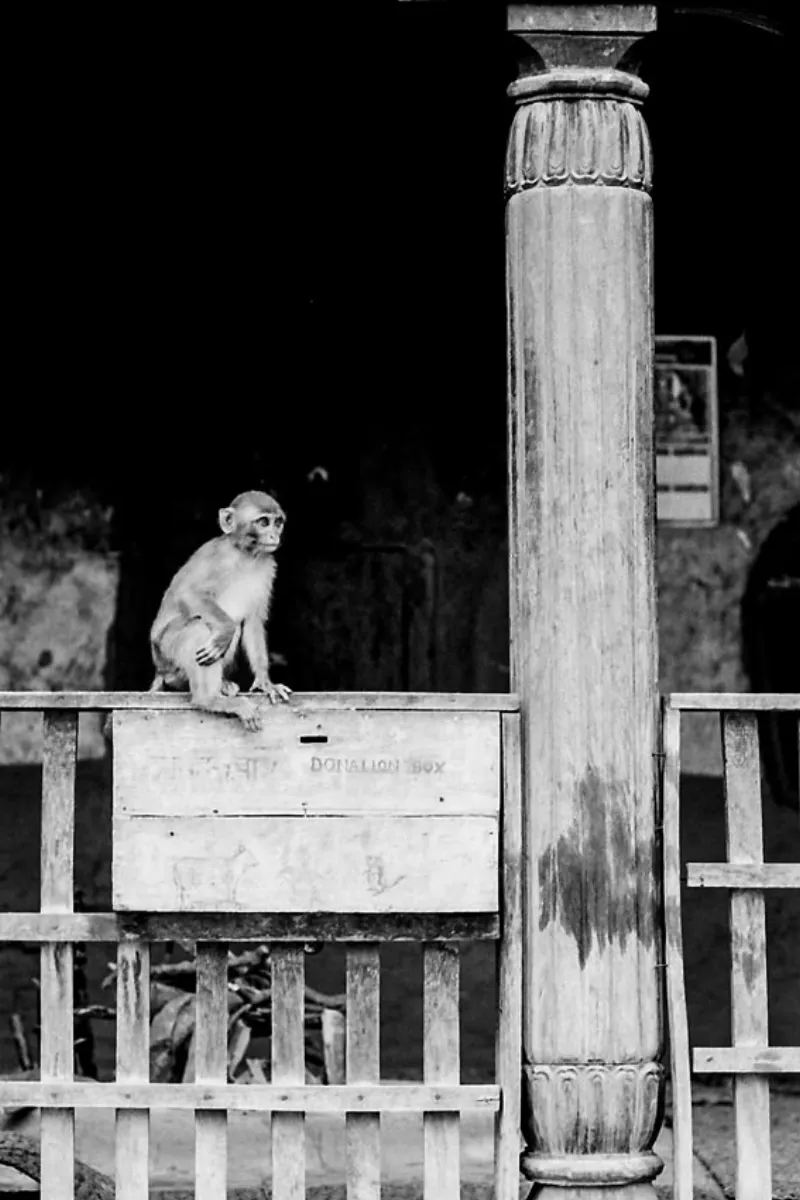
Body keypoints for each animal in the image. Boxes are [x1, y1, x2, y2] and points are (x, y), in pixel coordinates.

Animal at [149, 490, 291, 731]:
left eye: (278, 523)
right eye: (264, 522)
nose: (274, 536)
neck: (245, 555)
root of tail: (159, 671)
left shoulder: (267, 566)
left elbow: (253, 622)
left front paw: (265, 683)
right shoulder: (216, 557)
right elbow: (188, 592)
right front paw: (225, 629)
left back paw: (222, 685)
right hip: (166, 653)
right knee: (199, 628)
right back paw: (208, 699)